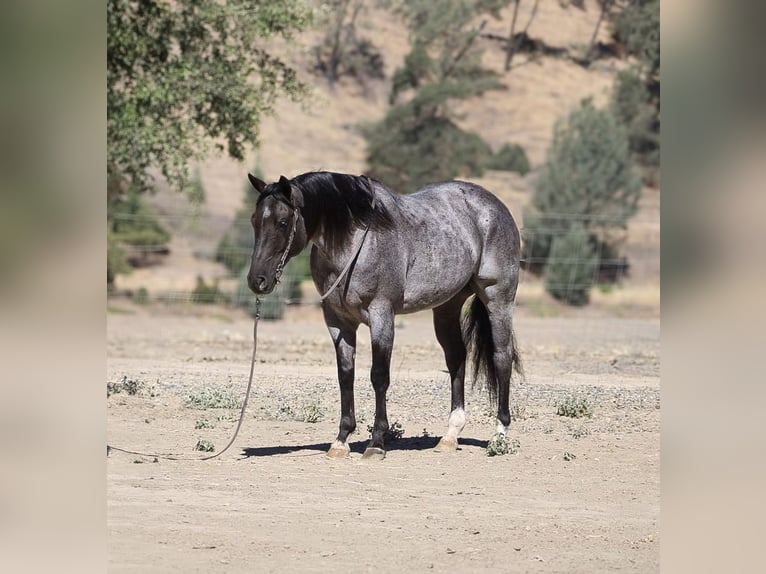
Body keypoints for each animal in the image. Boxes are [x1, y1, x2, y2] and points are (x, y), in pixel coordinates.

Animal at [247, 171, 522, 460]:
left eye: (282, 222)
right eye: (254, 220)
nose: (257, 281)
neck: (355, 242)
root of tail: (495, 206)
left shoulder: (381, 316)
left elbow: (379, 376)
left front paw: (376, 442)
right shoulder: (338, 322)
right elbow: (345, 375)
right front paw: (341, 439)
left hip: (498, 299)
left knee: (502, 358)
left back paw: (499, 435)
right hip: (447, 307)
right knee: (457, 358)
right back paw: (450, 435)